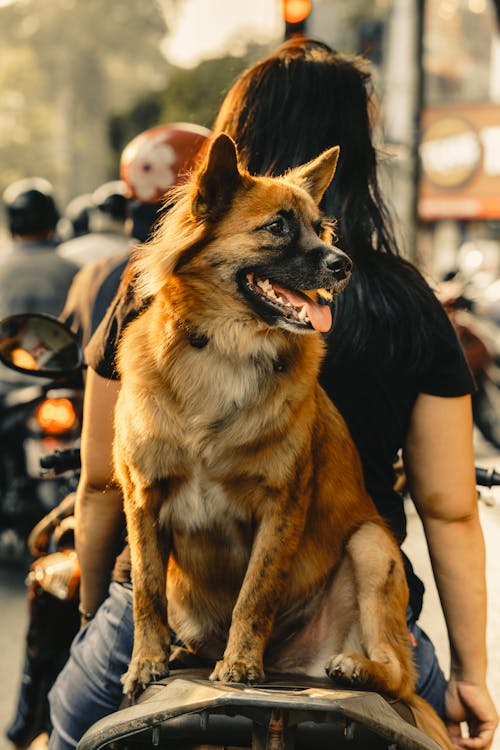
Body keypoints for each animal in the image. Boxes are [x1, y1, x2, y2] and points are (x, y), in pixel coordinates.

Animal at [114, 137, 454, 750]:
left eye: (323, 230)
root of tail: (298, 667)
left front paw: (240, 665)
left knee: (396, 673)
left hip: (372, 546)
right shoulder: (143, 499)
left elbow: (256, 593)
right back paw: (182, 653)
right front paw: (145, 663)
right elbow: (146, 592)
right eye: (277, 227)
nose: (342, 265)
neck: (223, 351)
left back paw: (354, 666)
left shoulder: (281, 506)